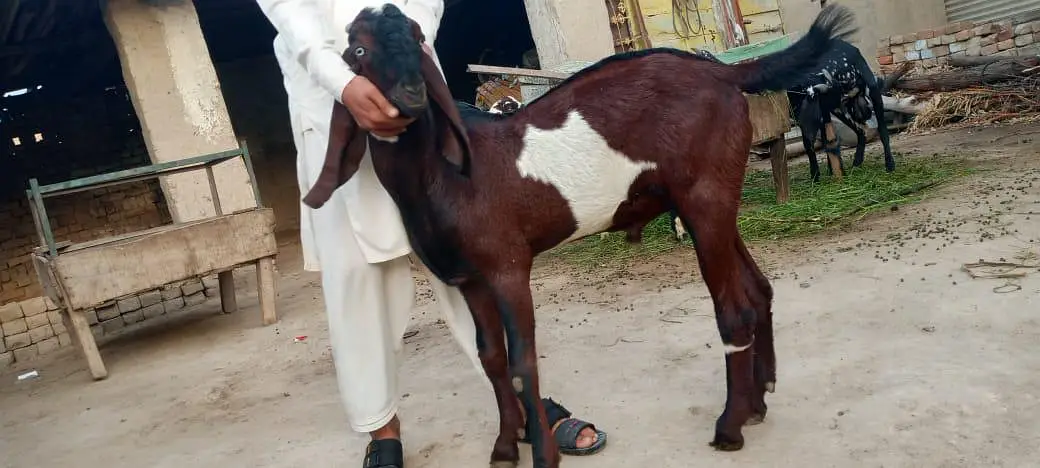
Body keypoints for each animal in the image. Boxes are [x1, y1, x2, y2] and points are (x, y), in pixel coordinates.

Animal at [788, 38, 896, 182]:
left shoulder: (821, 115)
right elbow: (813, 144)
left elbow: (825, 141)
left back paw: (889, 164)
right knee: (861, 132)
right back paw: (856, 162)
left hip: (872, 94)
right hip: (842, 111)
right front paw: (818, 175)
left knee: (882, 130)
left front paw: (830, 171)